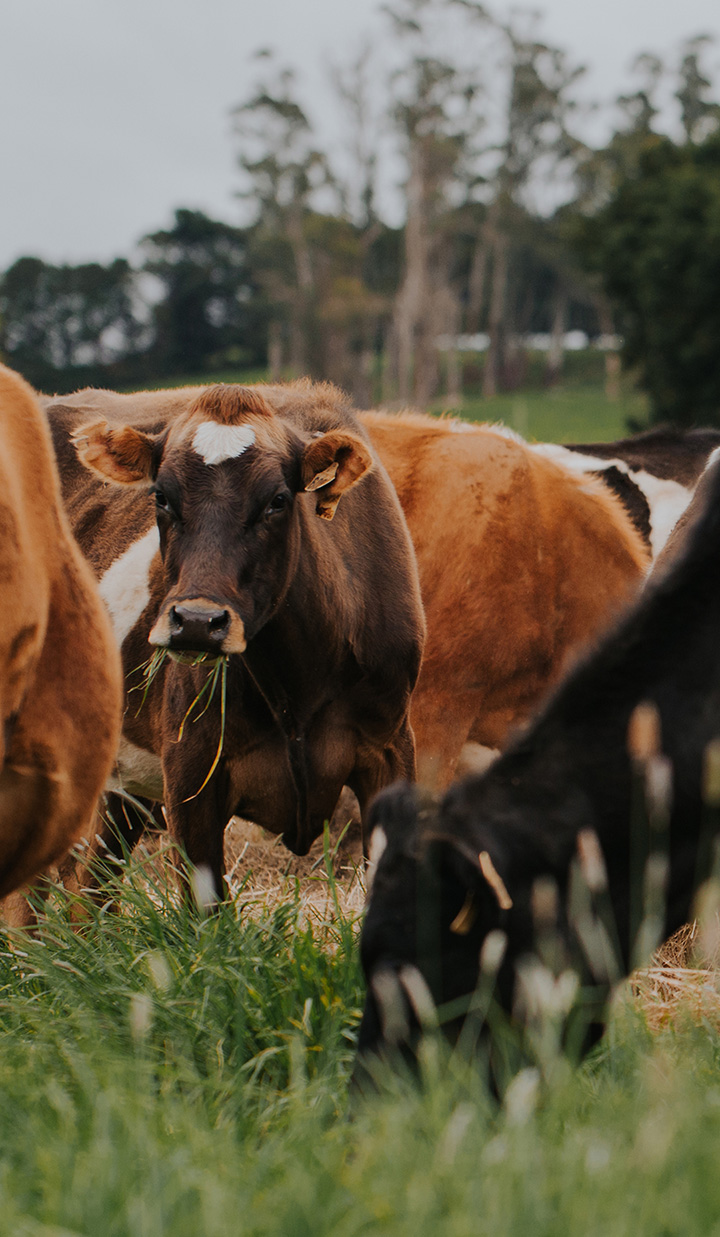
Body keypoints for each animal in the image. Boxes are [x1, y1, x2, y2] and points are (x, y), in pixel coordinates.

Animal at [43, 381, 425, 901]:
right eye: (161, 496)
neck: (298, 686)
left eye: (278, 500)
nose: (197, 622)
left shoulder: (389, 749)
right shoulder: (191, 772)